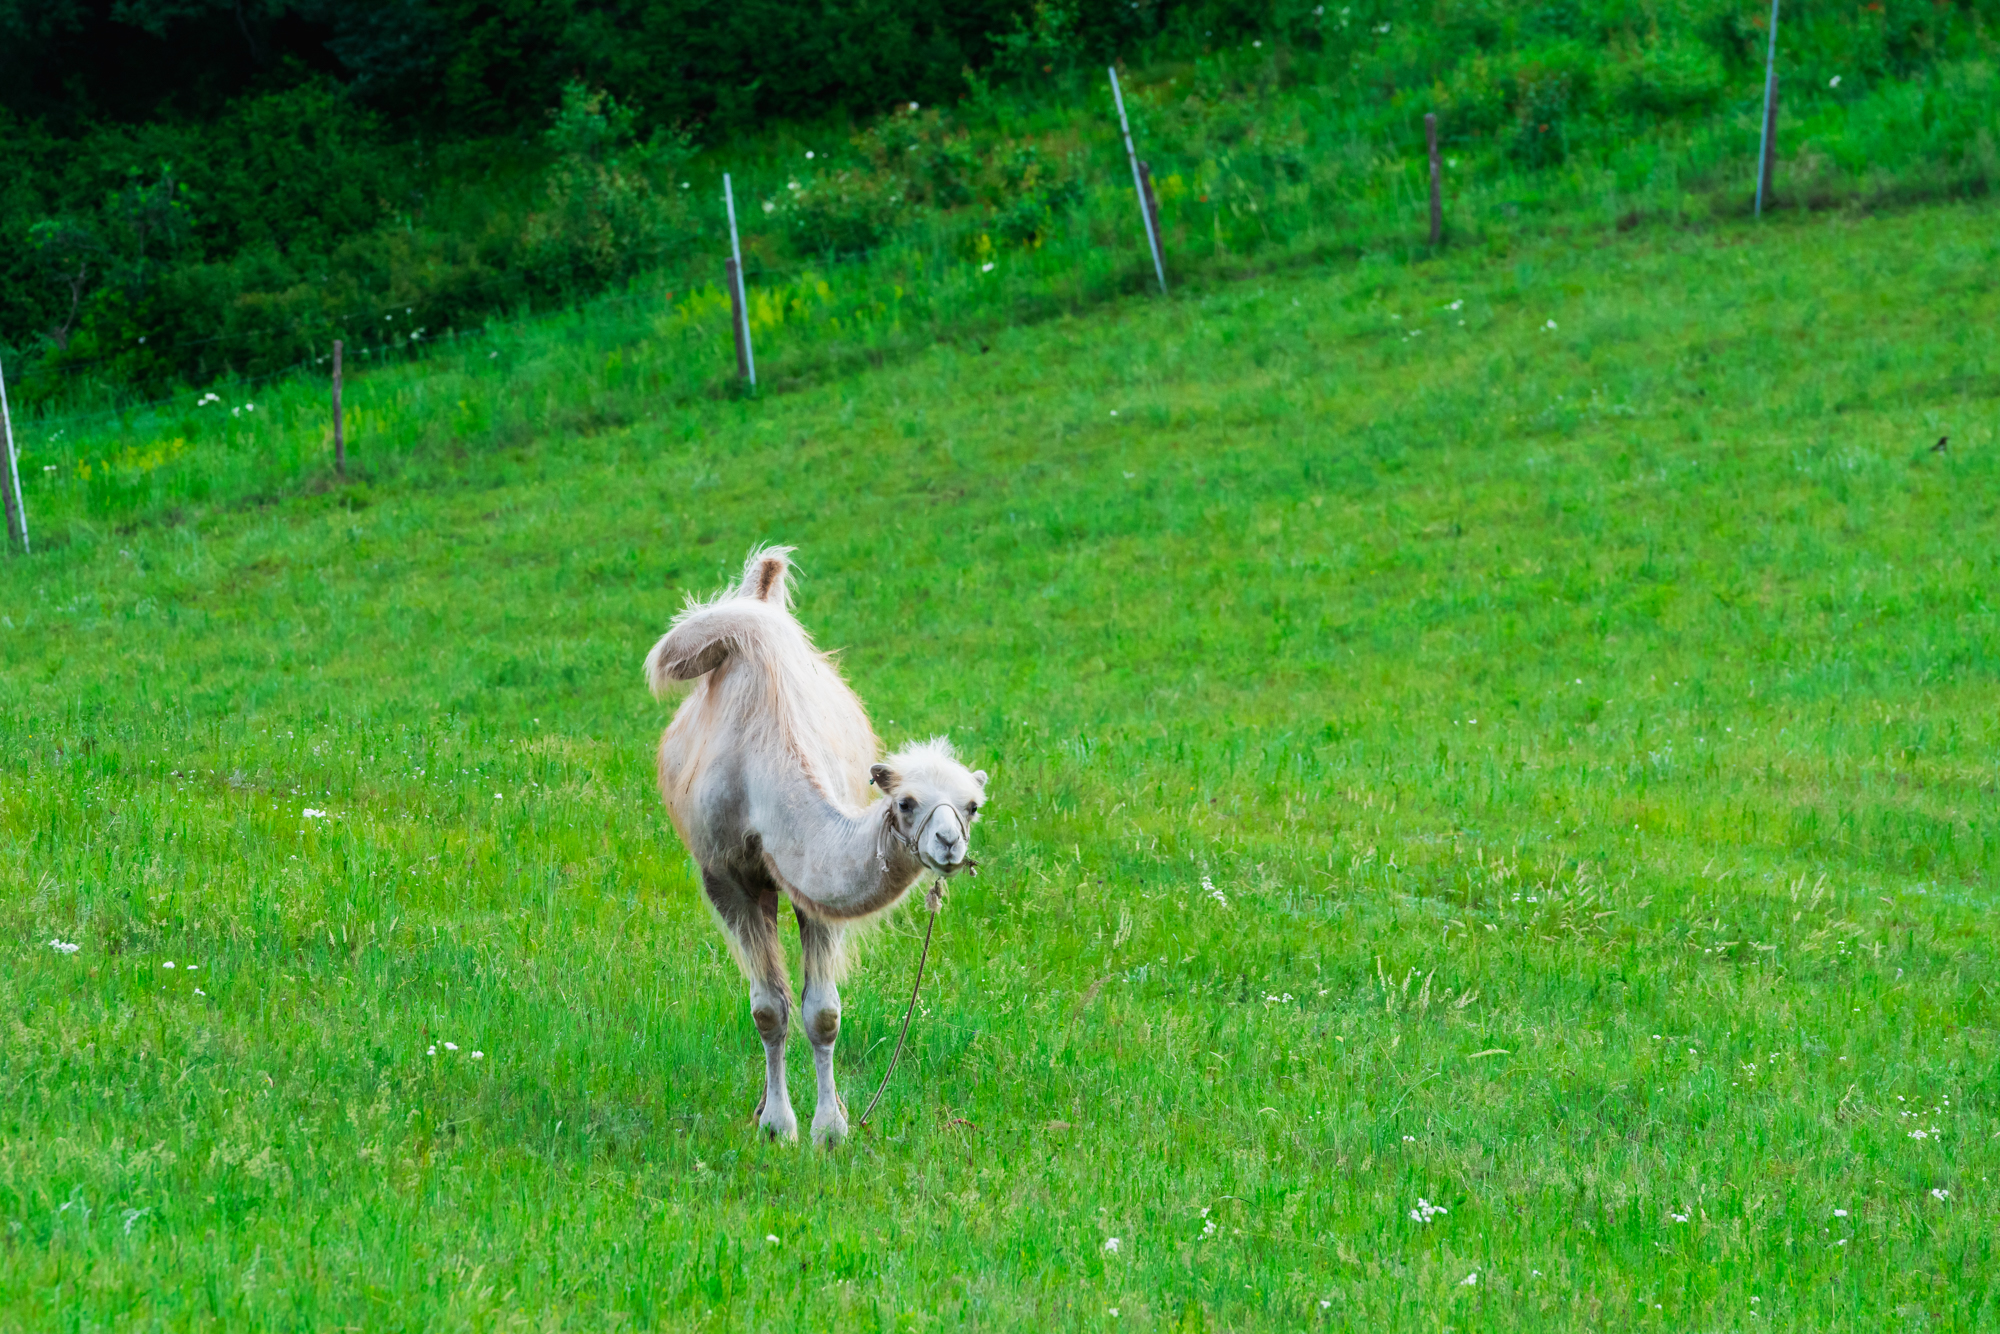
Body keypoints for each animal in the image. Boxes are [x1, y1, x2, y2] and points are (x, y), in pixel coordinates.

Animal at [640, 544, 984, 1152]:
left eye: (972, 806)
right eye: (906, 803)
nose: (946, 842)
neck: (762, 769)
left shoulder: (811, 889)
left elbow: (822, 1013)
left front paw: (831, 1128)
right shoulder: (726, 875)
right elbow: (767, 1010)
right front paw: (779, 1126)